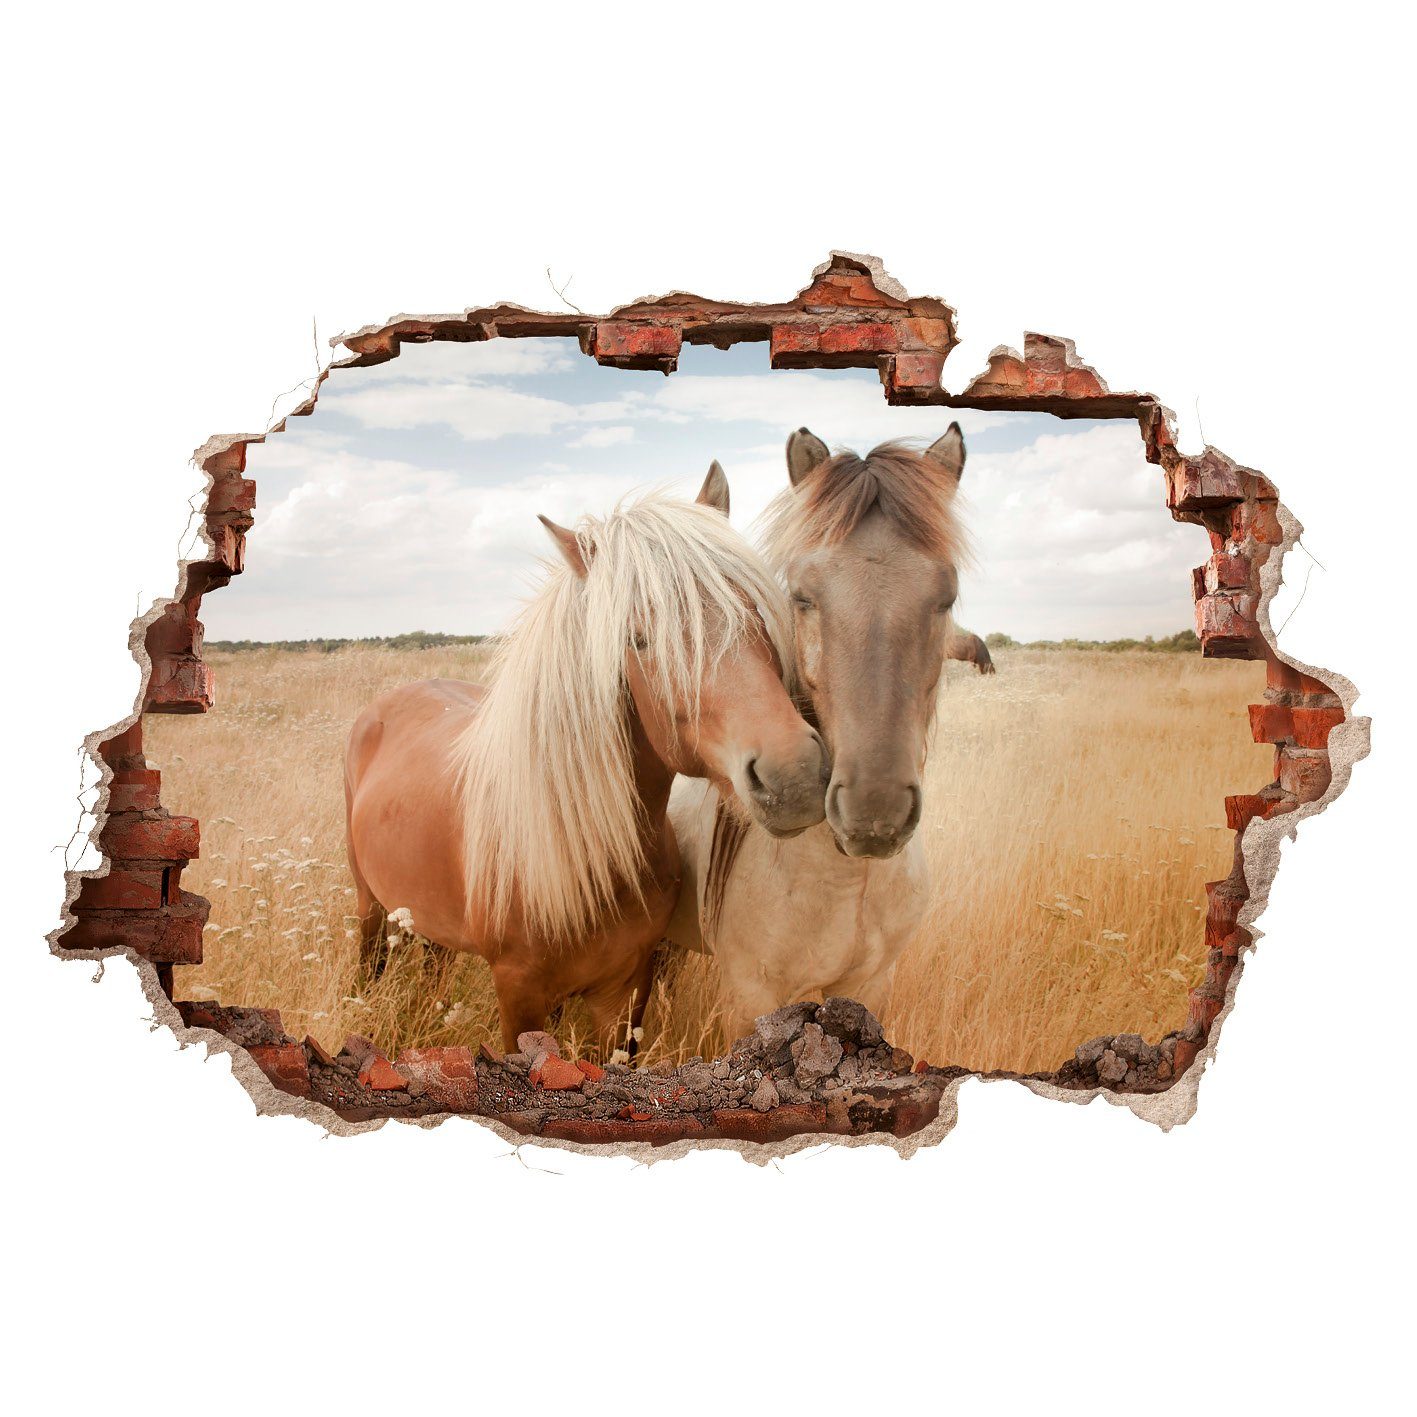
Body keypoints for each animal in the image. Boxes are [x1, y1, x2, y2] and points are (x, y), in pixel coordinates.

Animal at [344, 468, 828, 1053]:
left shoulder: (625, 990)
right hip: (371, 909)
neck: (590, 855)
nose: (793, 775)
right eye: (639, 639)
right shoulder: (519, 994)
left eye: (755, 610)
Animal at [666, 428, 969, 1035]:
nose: (874, 812)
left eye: (946, 596)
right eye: (803, 596)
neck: (848, 880)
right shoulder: (750, 998)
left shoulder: (872, 984)